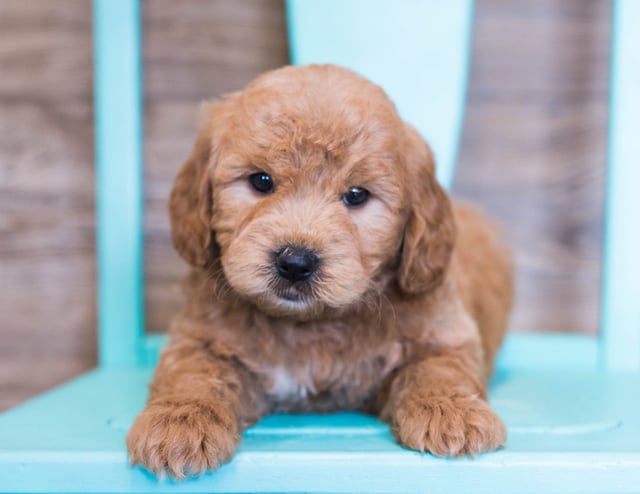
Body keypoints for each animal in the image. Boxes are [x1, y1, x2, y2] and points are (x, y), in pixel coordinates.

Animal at [127, 64, 512, 478]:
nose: (296, 262)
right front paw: (177, 422)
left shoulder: (443, 328)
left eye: (357, 195)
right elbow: (192, 372)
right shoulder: (200, 336)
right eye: (261, 181)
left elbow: (440, 367)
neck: (310, 326)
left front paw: (451, 411)